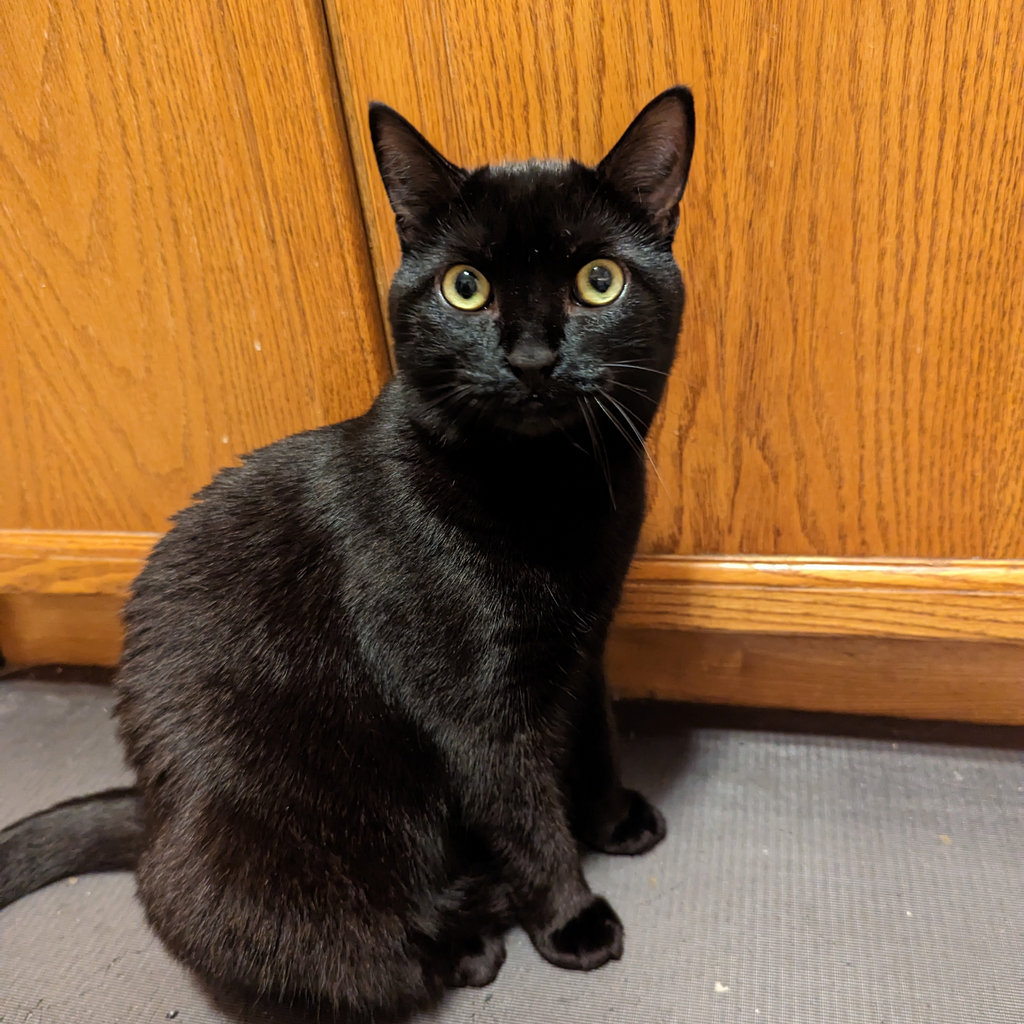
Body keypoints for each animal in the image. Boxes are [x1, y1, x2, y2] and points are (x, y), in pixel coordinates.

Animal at [0, 87, 695, 1020]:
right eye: (465, 288)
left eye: (599, 279)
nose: (531, 357)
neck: (551, 494)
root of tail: (151, 814)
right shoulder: (475, 714)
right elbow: (525, 817)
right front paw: (572, 919)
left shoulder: (584, 649)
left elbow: (594, 740)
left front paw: (614, 821)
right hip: (262, 880)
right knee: (356, 959)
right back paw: (471, 940)